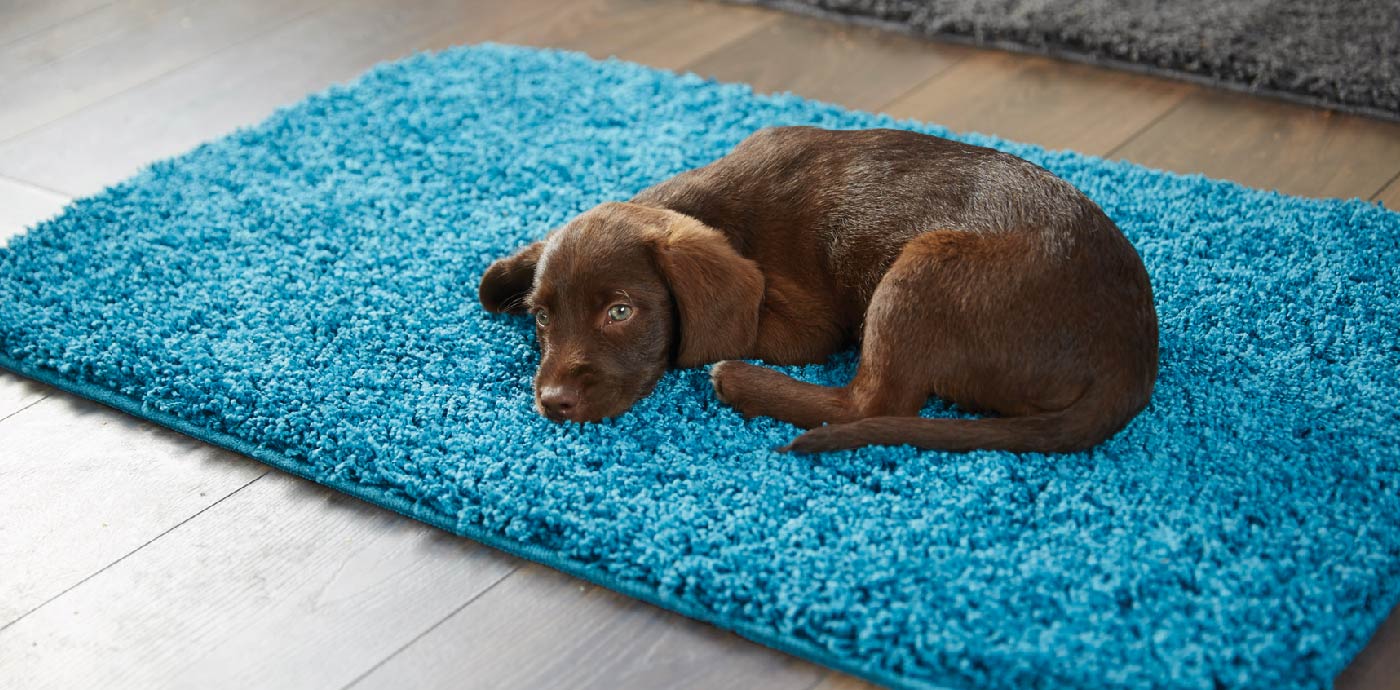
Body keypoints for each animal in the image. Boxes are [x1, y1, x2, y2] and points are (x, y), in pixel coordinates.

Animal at [476, 127, 1153, 453]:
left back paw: (740, 381)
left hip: (924, 266)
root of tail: (1133, 359)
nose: (553, 402)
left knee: (872, 403)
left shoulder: (804, 326)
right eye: (541, 319)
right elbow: (492, 282)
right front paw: (508, 273)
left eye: (621, 311)